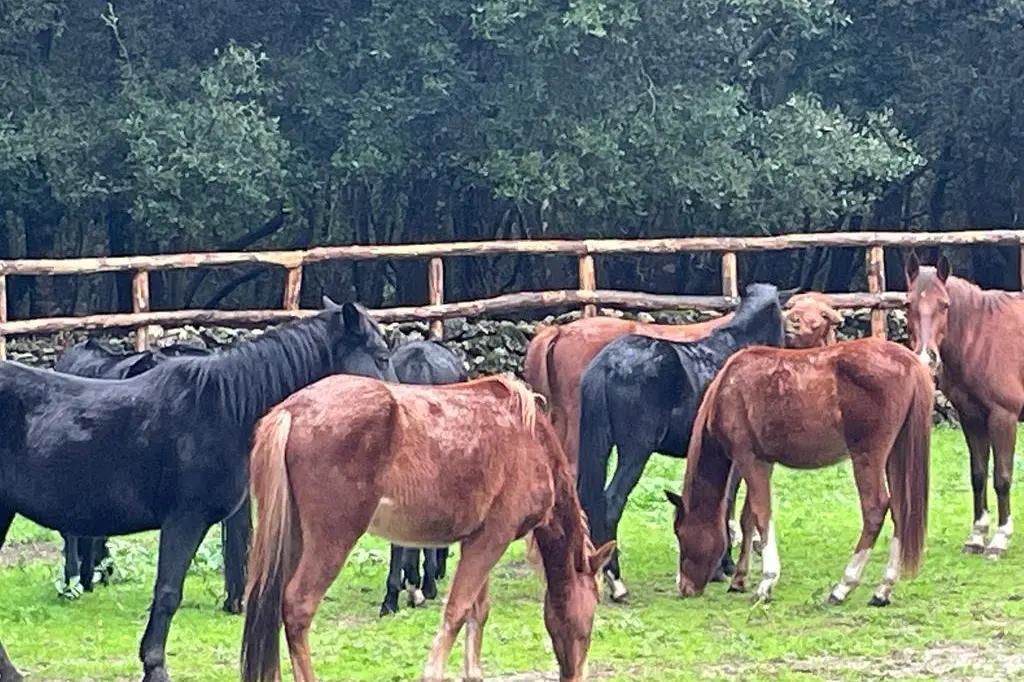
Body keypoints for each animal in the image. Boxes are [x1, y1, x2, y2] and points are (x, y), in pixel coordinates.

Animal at [240, 374, 615, 682]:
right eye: (593, 610)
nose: (576, 675)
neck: (530, 441)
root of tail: (291, 411)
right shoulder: (493, 539)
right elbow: (458, 610)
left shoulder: (477, 540)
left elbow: (478, 610)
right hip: (331, 541)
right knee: (298, 607)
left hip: (293, 539)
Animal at [576, 283, 797, 603]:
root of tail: (606, 364)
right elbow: (727, 504)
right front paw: (726, 566)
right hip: (635, 452)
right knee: (611, 502)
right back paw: (616, 583)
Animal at [665, 337, 932, 607]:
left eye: (680, 532)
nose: (684, 587)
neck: (728, 389)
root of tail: (910, 362)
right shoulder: (761, 463)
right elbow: (747, 517)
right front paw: (739, 580)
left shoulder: (750, 460)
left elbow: (762, 515)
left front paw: (766, 582)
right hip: (894, 453)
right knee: (900, 509)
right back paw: (882, 590)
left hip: (868, 457)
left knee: (875, 509)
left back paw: (843, 587)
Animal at [904, 251, 1024, 559]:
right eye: (908, 304)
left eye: (944, 305)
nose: (926, 357)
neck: (981, 338)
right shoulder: (971, 418)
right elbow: (978, 475)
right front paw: (977, 536)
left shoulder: (1003, 418)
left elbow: (1002, 477)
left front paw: (999, 539)